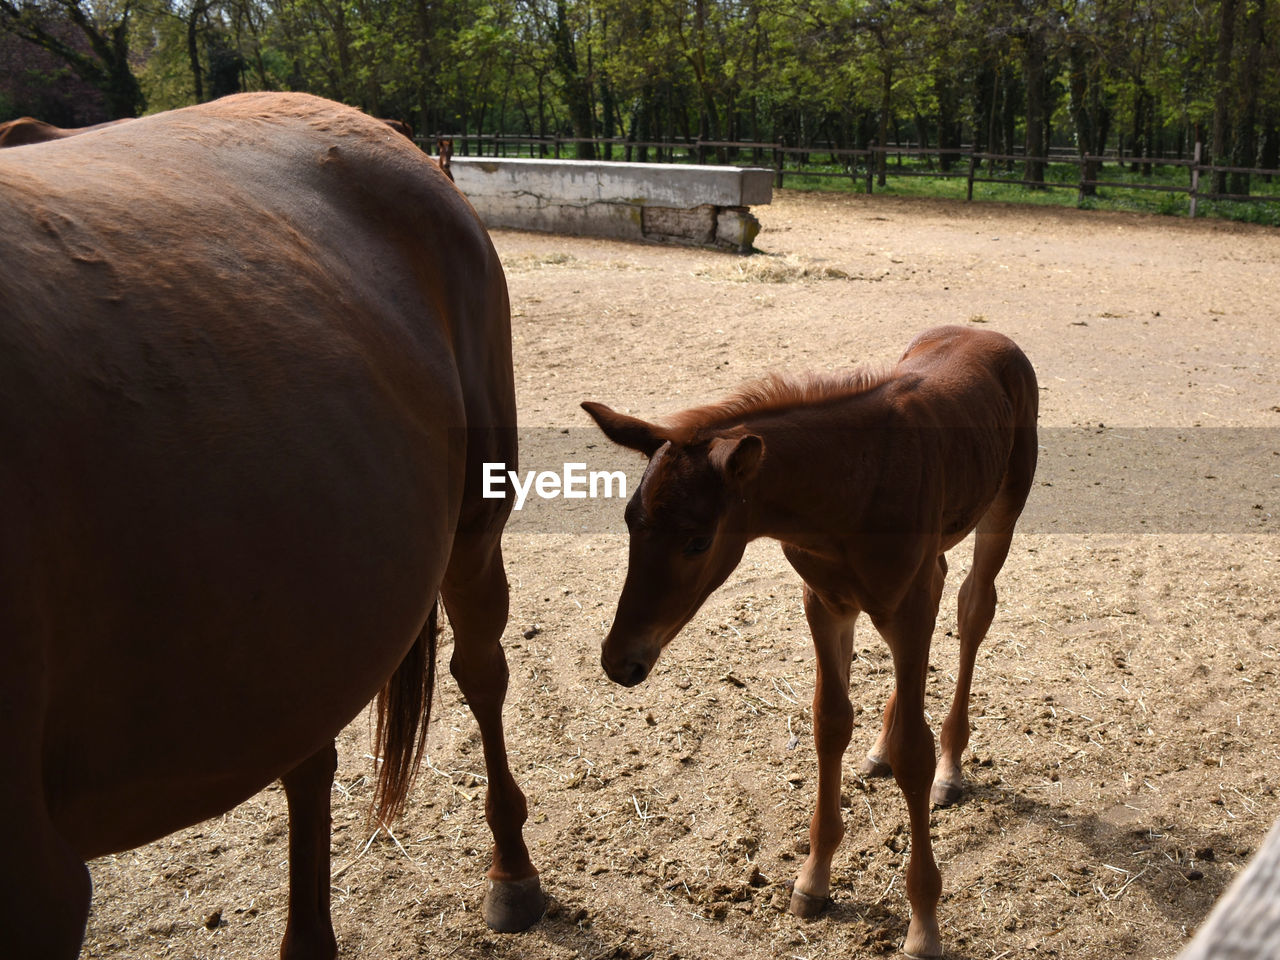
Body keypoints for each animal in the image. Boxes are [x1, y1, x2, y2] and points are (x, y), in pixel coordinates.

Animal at [586, 327, 1034, 957]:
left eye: (698, 541)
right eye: (630, 521)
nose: (619, 660)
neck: (851, 486)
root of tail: (986, 332)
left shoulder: (907, 608)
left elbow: (914, 753)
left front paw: (924, 922)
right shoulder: (825, 602)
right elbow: (829, 724)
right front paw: (813, 880)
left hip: (1003, 506)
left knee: (974, 609)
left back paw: (951, 767)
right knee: (944, 582)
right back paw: (880, 748)